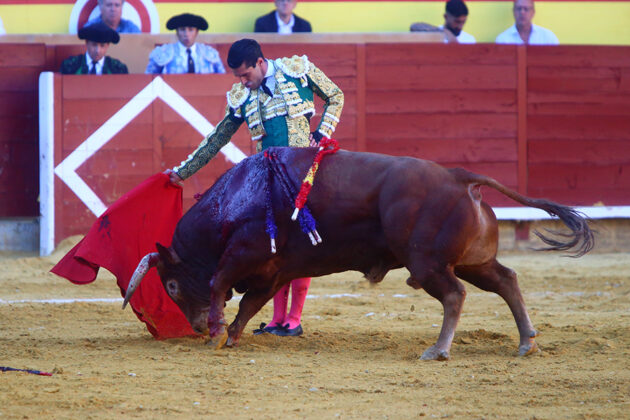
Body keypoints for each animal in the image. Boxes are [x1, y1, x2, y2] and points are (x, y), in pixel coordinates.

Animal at [124, 146, 596, 360]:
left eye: (170, 284)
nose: (195, 326)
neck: (234, 200)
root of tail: (458, 177)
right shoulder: (274, 271)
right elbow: (249, 304)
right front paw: (232, 334)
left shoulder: (243, 256)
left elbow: (220, 285)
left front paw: (217, 332)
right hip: (471, 260)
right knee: (505, 280)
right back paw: (526, 342)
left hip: (427, 262)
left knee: (455, 294)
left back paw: (438, 350)